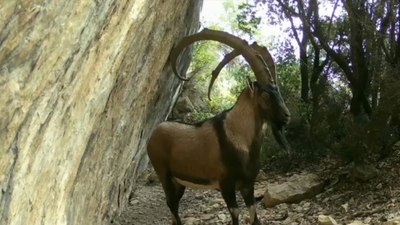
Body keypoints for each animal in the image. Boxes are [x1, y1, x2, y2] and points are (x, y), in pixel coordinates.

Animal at [148, 28, 290, 225]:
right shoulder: (226, 185)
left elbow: (254, 215)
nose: (287, 116)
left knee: (173, 204)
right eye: (265, 96)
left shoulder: (248, 185)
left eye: (278, 91)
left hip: (179, 182)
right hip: (164, 174)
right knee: (172, 204)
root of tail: (153, 135)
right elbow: (235, 215)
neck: (239, 137)